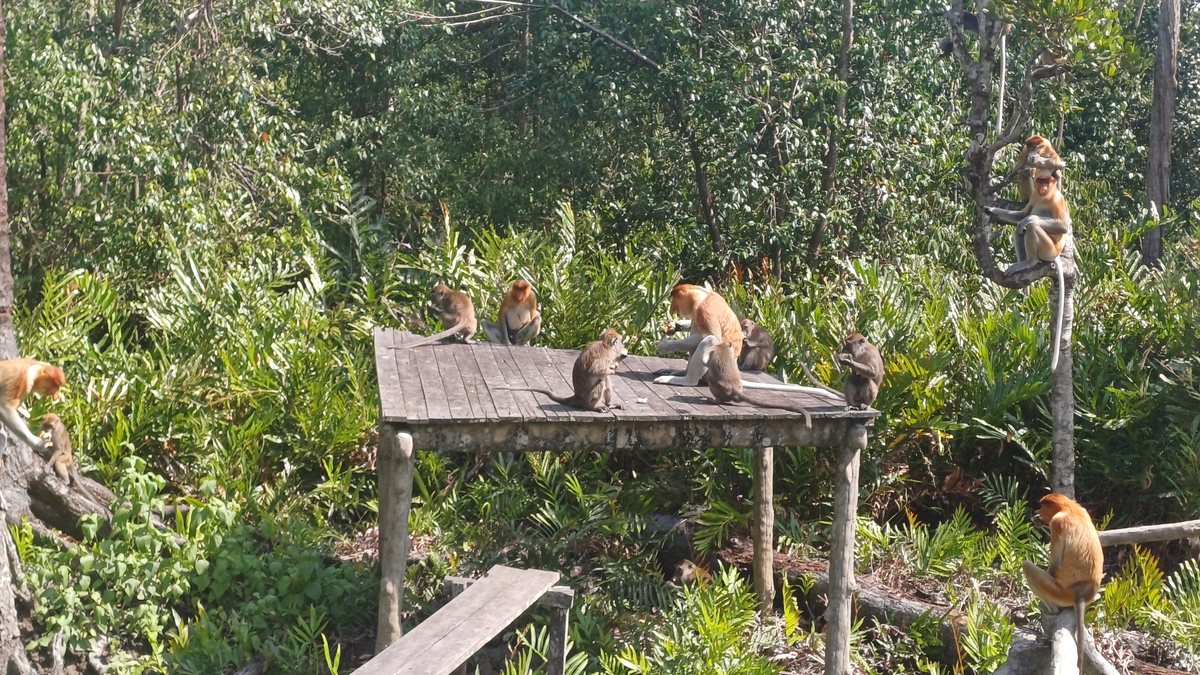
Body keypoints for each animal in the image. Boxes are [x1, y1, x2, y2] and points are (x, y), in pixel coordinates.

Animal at [496, 328, 627, 412]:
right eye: (621, 341)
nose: (623, 345)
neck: (606, 345)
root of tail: (577, 396)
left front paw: (613, 367)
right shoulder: (606, 355)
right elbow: (594, 370)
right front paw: (612, 369)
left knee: (605, 380)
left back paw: (610, 404)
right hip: (587, 398)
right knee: (602, 381)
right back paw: (592, 407)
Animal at [986, 163, 1072, 372]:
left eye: (1046, 182)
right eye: (1039, 181)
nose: (1042, 188)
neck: (1045, 196)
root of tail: (1055, 255)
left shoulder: (1057, 199)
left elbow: (1061, 225)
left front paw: (1030, 220)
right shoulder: (1035, 197)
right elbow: (1023, 213)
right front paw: (990, 209)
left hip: (1048, 249)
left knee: (1030, 229)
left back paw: (1030, 260)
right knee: (1018, 231)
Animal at [1021, 493, 1104, 673]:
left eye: (1043, 506)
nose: (1038, 512)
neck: (1069, 507)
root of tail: (1081, 594)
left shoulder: (1057, 523)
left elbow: (1056, 563)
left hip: (1060, 592)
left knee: (1027, 566)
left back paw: (1051, 610)